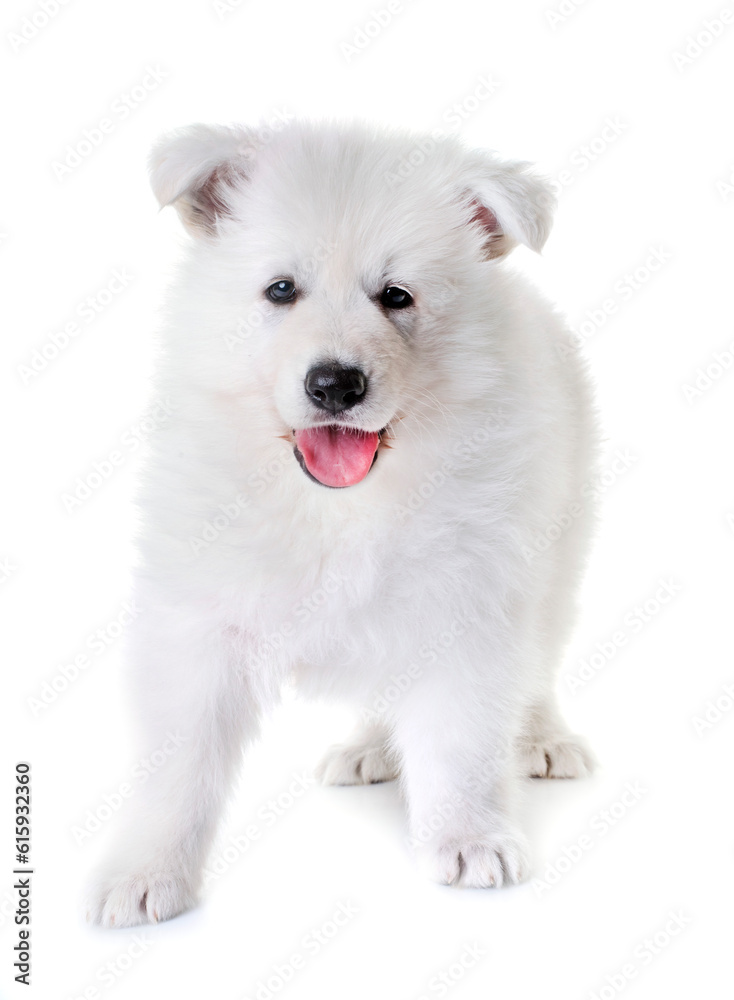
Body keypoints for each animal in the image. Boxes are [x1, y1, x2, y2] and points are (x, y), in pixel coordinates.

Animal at [87, 121, 600, 924]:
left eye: (396, 296)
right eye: (281, 290)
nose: (335, 384)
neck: (337, 504)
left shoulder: (467, 602)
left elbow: (462, 738)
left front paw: (468, 837)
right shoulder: (200, 620)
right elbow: (180, 762)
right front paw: (146, 872)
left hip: (555, 550)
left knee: (537, 660)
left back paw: (541, 737)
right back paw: (374, 747)